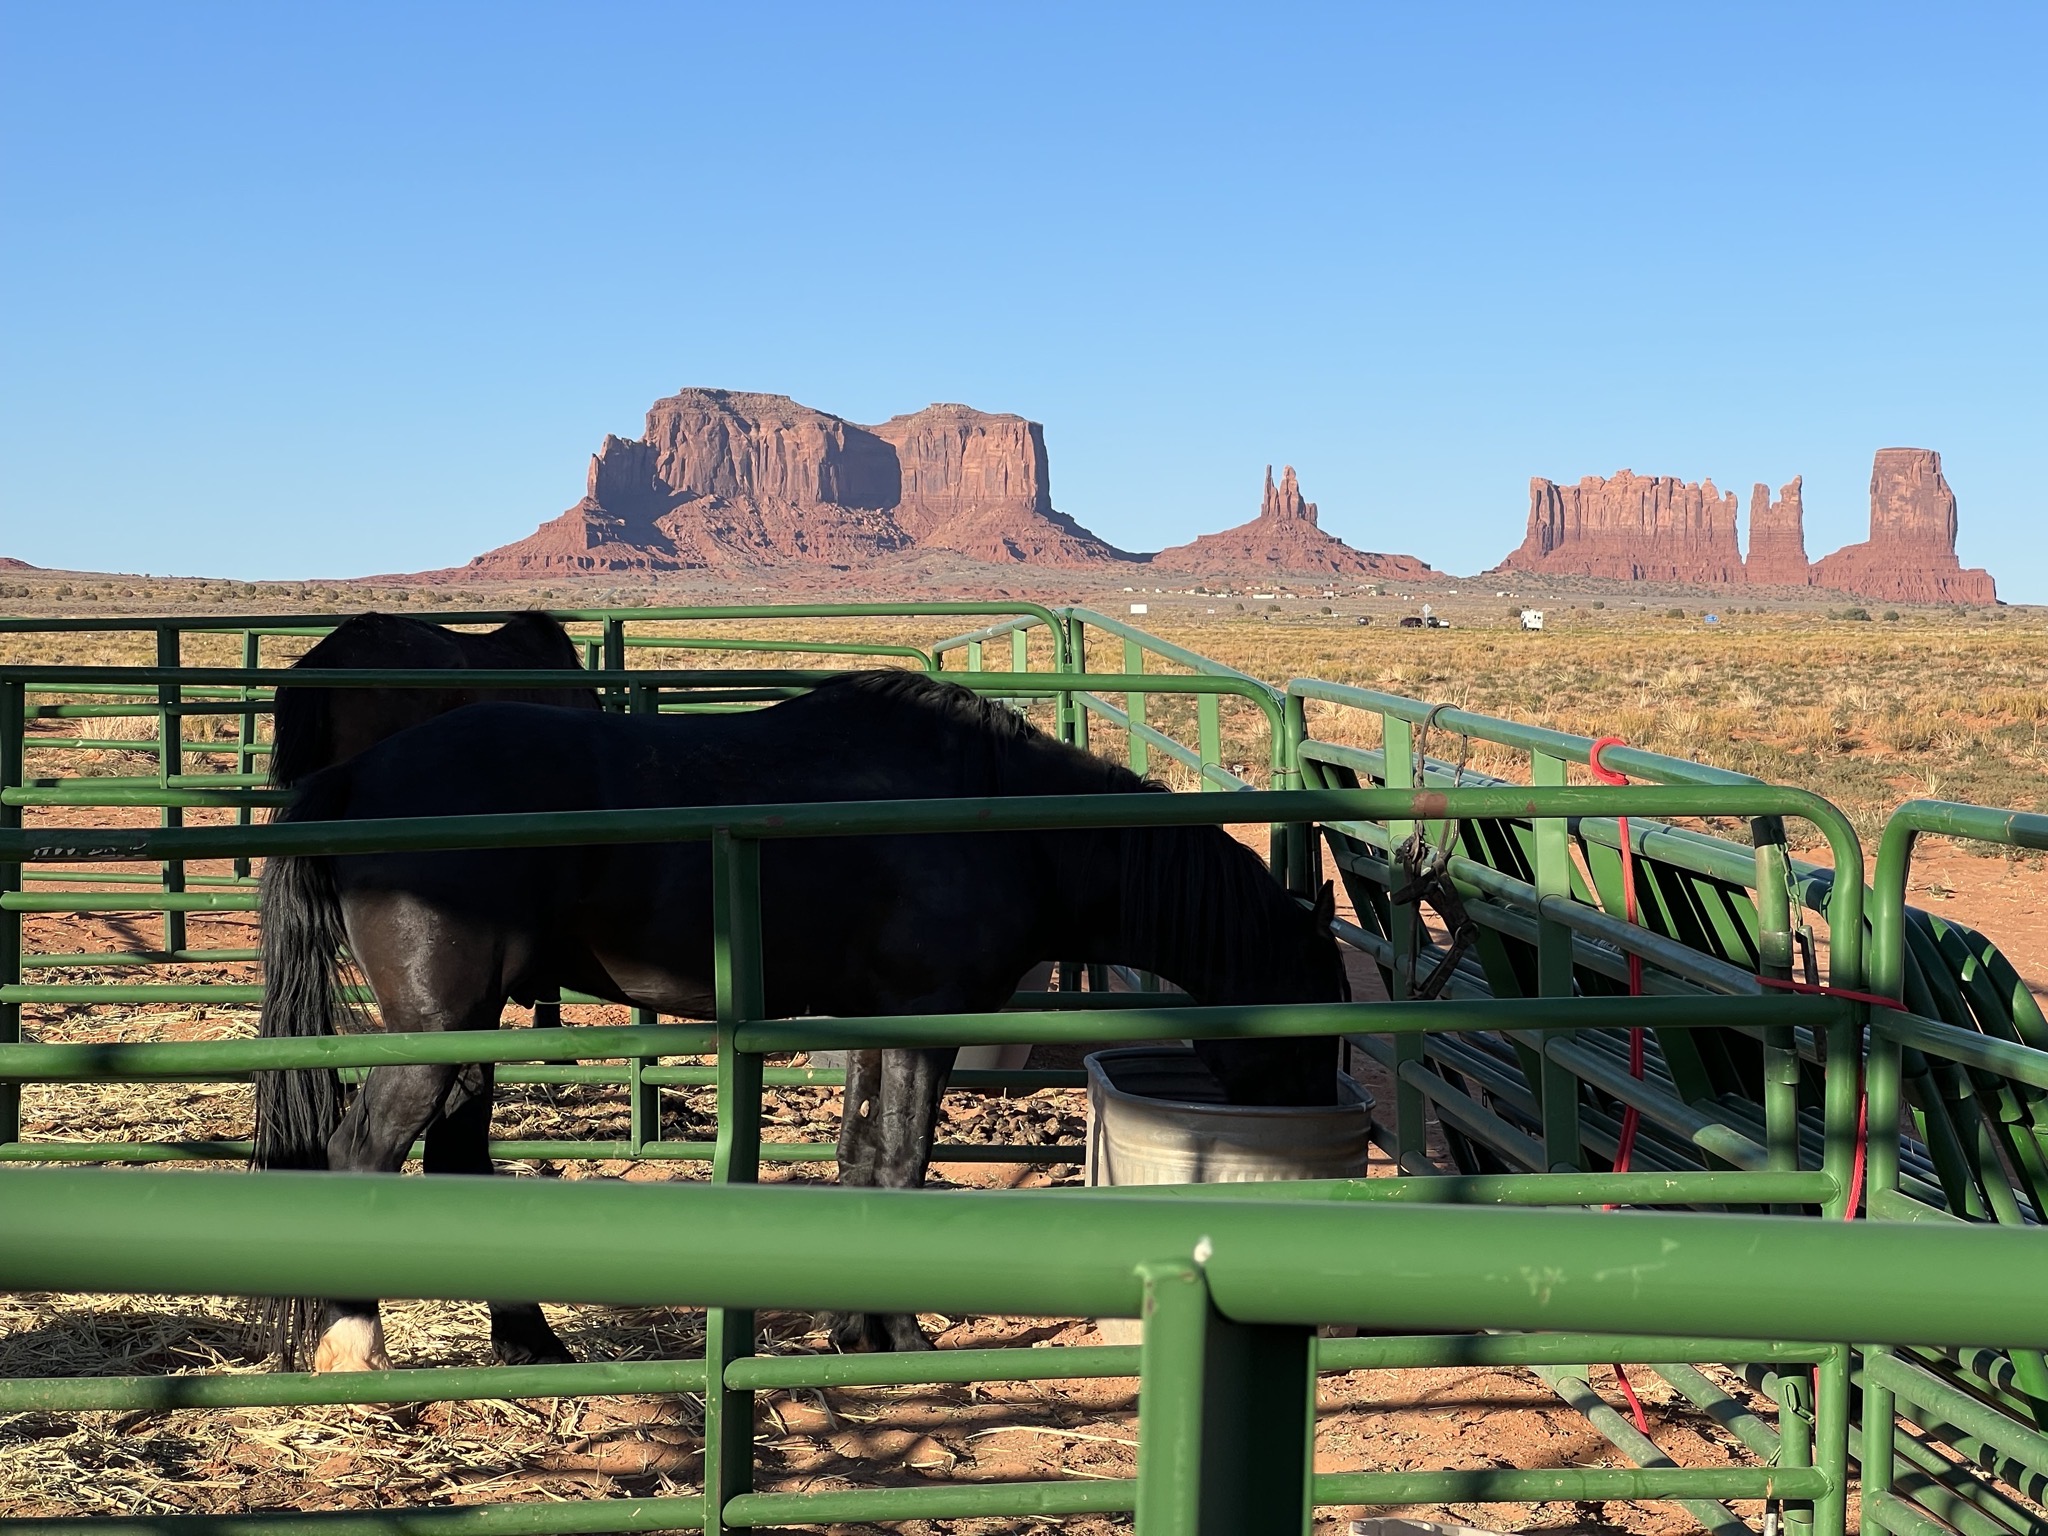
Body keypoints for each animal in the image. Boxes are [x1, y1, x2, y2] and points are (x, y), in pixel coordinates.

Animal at [253, 671, 1347, 1367]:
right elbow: (901, 1162)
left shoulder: (873, 1020)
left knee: (456, 1160)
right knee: (360, 1153)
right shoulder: (924, 1019)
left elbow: (861, 1160)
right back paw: (355, 1347)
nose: (1319, 1130)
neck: (1001, 816)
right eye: (1321, 1015)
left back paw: (530, 1343)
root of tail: (358, 778)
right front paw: (900, 1338)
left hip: (472, 1025)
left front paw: (853, 1326)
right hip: (438, 1028)